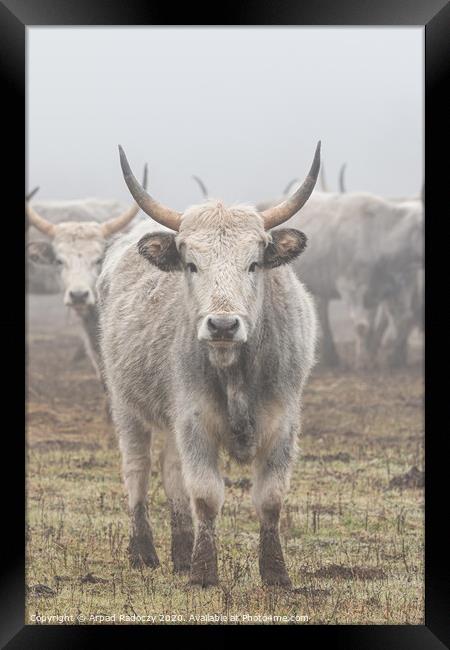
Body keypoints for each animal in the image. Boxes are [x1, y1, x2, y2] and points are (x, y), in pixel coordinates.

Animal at [98, 143, 320, 588]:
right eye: (191, 264)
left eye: (254, 263)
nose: (222, 324)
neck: (235, 371)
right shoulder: (195, 420)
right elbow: (205, 495)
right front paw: (204, 572)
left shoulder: (283, 422)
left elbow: (270, 498)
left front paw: (275, 573)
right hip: (126, 405)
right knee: (138, 471)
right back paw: (143, 551)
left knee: (170, 476)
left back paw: (181, 552)